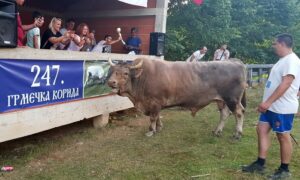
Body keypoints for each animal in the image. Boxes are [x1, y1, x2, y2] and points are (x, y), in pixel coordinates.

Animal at [107, 57, 246, 139]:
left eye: (125, 73)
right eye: (112, 71)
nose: (111, 82)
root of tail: (234, 61)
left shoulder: (154, 102)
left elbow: (153, 117)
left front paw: (151, 131)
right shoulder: (156, 104)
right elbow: (157, 116)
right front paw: (159, 127)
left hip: (232, 99)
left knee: (239, 113)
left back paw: (237, 133)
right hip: (221, 100)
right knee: (224, 114)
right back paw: (217, 131)